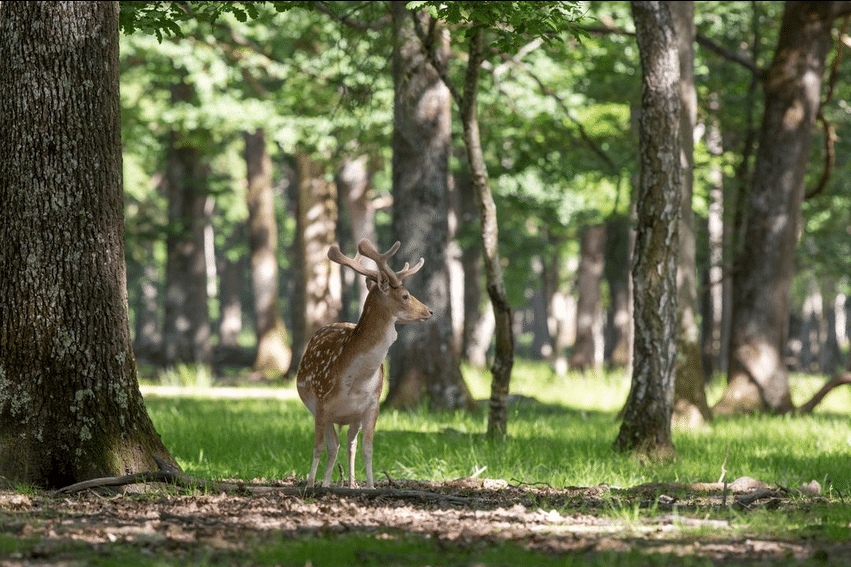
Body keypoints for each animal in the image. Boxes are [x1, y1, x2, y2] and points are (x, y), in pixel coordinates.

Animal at [298, 237, 432, 490]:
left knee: (348, 444)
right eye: (406, 295)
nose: (430, 311)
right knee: (333, 446)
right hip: (324, 412)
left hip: (353, 418)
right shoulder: (321, 403)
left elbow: (368, 449)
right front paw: (310, 484)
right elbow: (318, 447)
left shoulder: (372, 406)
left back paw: (350, 484)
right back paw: (324, 483)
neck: (356, 380)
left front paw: (370, 487)